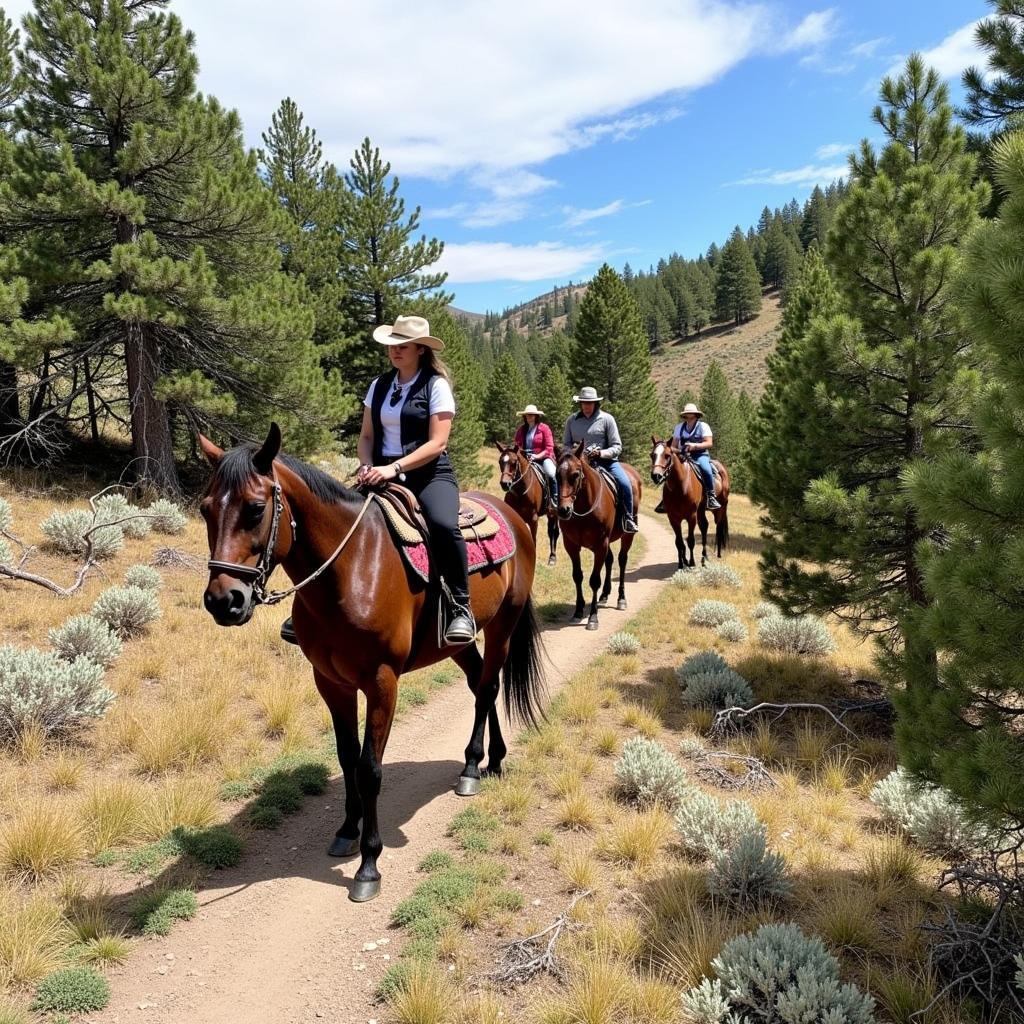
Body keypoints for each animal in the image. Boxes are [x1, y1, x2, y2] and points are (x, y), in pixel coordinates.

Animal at [197, 423, 544, 905]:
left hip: (502, 627)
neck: (351, 569)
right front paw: (347, 830)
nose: (223, 601)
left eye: (255, 508)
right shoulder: (330, 681)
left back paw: (474, 767)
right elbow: (346, 758)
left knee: (489, 687)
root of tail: (512, 515)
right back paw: (490, 760)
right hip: (458, 644)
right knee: (480, 683)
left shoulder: (382, 682)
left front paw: (368, 863)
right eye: (205, 509)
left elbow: (370, 768)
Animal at [552, 442, 638, 626]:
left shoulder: (600, 545)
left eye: (576, 474)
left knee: (622, 560)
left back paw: (621, 599)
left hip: (627, 536)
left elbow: (594, 580)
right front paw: (578, 610)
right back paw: (604, 595)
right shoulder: (572, 545)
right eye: (557, 475)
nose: (564, 510)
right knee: (610, 560)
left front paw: (592, 617)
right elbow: (577, 576)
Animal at [647, 436, 729, 569]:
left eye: (667, 455)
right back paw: (704, 557)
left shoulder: (691, 516)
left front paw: (691, 563)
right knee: (704, 526)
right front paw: (682, 563)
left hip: (720, 509)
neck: (680, 486)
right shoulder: (673, 518)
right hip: (701, 510)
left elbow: (690, 540)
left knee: (719, 527)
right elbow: (679, 542)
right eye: (652, 455)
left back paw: (718, 553)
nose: (656, 476)